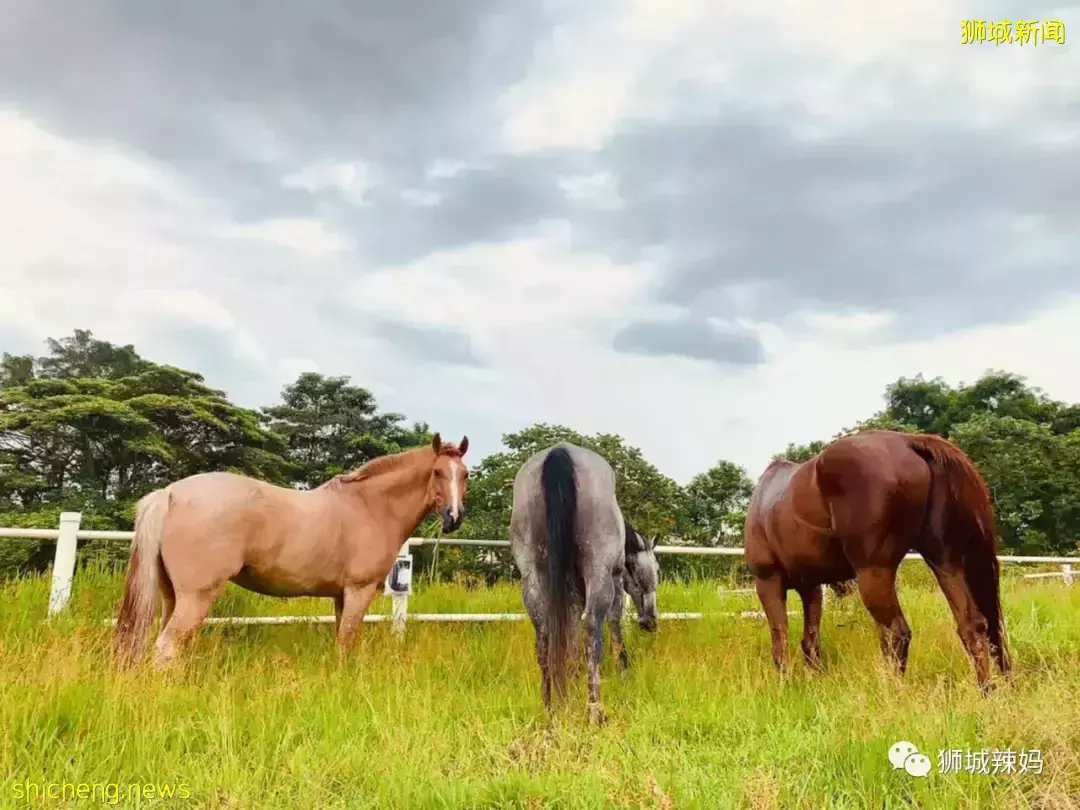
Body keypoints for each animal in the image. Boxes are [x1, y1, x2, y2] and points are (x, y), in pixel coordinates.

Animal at [113, 434, 468, 669]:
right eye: (437, 472)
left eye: (464, 475)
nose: (454, 517)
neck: (369, 506)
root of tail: (170, 493)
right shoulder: (359, 591)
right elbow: (347, 643)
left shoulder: (341, 596)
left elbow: (341, 639)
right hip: (196, 598)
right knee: (166, 647)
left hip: (172, 596)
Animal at [511, 447, 660, 725]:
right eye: (656, 571)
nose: (651, 621)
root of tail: (559, 452)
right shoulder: (613, 580)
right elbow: (612, 624)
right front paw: (623, 670)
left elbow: (569, 634)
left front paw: (571, 676)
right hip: (598, 575)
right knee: (592, 630)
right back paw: (595, 709)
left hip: (533, 577)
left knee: (544, 636)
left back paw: (550, 707)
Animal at [747, 432, 1006, 691]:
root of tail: (909, 441)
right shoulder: (811, 588)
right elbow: (810, 641)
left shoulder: (768, 581)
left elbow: (780, 639)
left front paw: (785, 685)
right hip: (945, 561)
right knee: (972, 625)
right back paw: (987, 691)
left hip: (874, 573)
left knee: (896, 633)